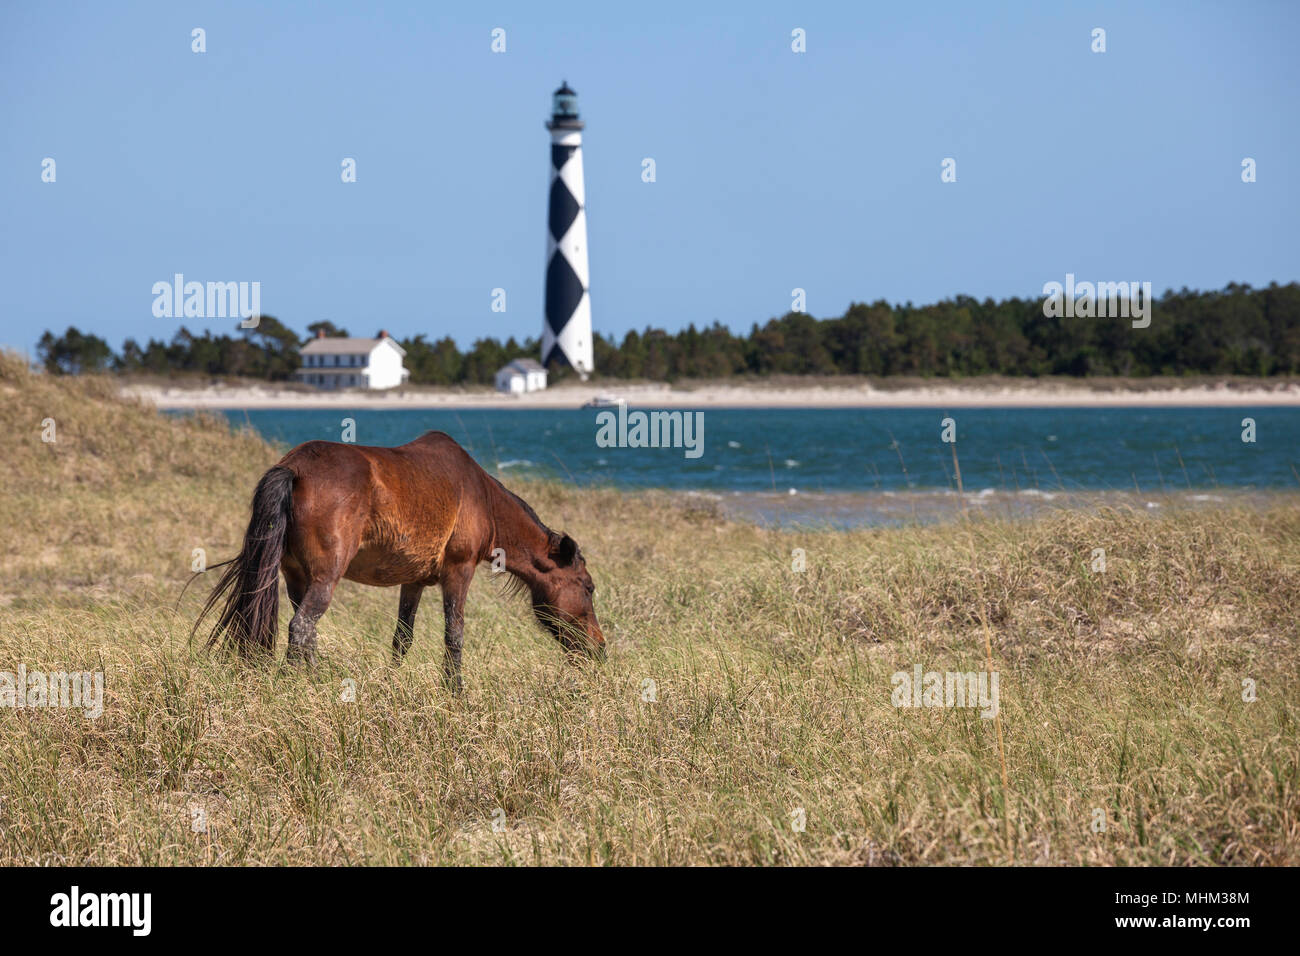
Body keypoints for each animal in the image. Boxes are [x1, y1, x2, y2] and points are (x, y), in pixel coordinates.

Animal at [191, 431, 603, 686]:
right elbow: (454, 635)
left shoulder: (414, 581)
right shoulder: (459, 572)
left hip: (296, 577)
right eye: (588, 587)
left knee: (307, 631)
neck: (481, 496)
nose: (599, 648)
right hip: (325, 578)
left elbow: (401, 638)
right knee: (301, 627)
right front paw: (455, 693)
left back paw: (317, 680)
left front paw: (392, 683)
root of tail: (294, 468)